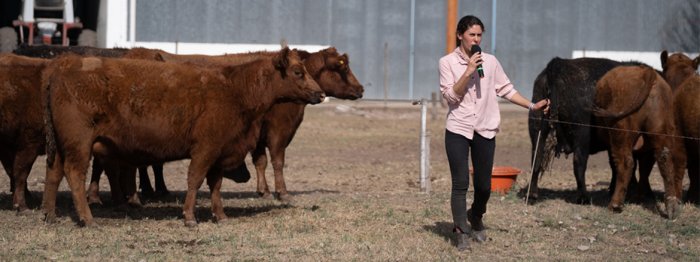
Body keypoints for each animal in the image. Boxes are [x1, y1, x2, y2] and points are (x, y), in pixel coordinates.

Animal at [43, 47, 326, 227]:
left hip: (61, 147)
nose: (321, 94)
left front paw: (220, 215)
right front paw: (190, 217)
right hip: (79, 145)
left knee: (54, 173)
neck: (234, 90)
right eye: (298, 72)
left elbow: (215, 185)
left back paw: (50, 215)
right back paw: (88, 218)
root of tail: (63, 67)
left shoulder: (220, 151)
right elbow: (195, 180)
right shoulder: (205, 149)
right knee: (74, 174)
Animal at [592, 65, 680, 219]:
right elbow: (645, 168)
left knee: (626, 163)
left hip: (620, 133)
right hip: (659, 133)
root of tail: (647, 71)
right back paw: (671, 207)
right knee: (664, 160)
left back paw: (615, 204)